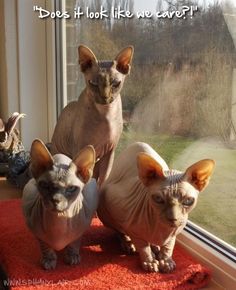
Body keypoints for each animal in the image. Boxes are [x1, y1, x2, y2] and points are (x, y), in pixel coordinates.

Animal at [22, 139, 98, 270]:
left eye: (71, 188)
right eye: (45, 185)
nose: (55, 200)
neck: (59, 221)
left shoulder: (81, 230)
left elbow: (75, 242)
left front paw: (72, 256)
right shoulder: (36, 232)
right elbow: (45, 246)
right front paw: (49, 260)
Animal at [50, 45, 134, 186]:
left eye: (115, 83)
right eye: (93, 83)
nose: (105, 97)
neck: (105, 113)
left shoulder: (109, 152)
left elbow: (104, 179)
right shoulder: (81, 149)